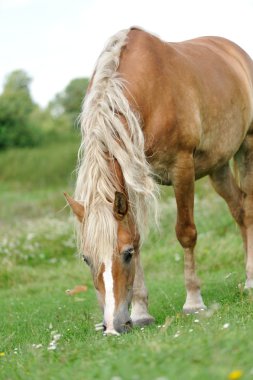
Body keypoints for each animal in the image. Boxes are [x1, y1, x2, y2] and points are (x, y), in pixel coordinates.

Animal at [64, 27, 253, 336]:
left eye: (126, 254)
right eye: (86, 258)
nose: (113, 327)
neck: (149, 92)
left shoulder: (182, 168)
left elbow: (186, 233)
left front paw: (193, 301)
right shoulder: (132, 180)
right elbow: (139, 236)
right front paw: (141, 312)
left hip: (246, 146)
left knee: (247, 210)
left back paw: (249, 279)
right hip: (218, 166)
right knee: (237, 208)